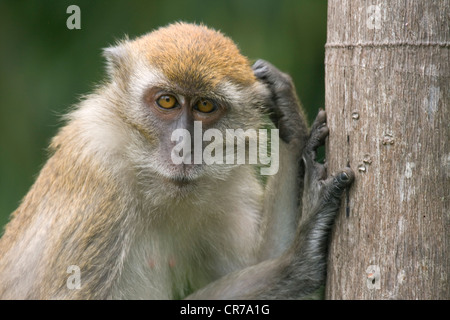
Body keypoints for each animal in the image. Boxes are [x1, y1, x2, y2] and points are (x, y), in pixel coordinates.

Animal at [0, 23, 354, 300]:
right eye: (167, 101)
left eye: (205, 106)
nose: (183, 144)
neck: (146, 177)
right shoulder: (100, 178)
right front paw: (297, 260)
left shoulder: (225, 187)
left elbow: (254, 260)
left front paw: (292, 126)